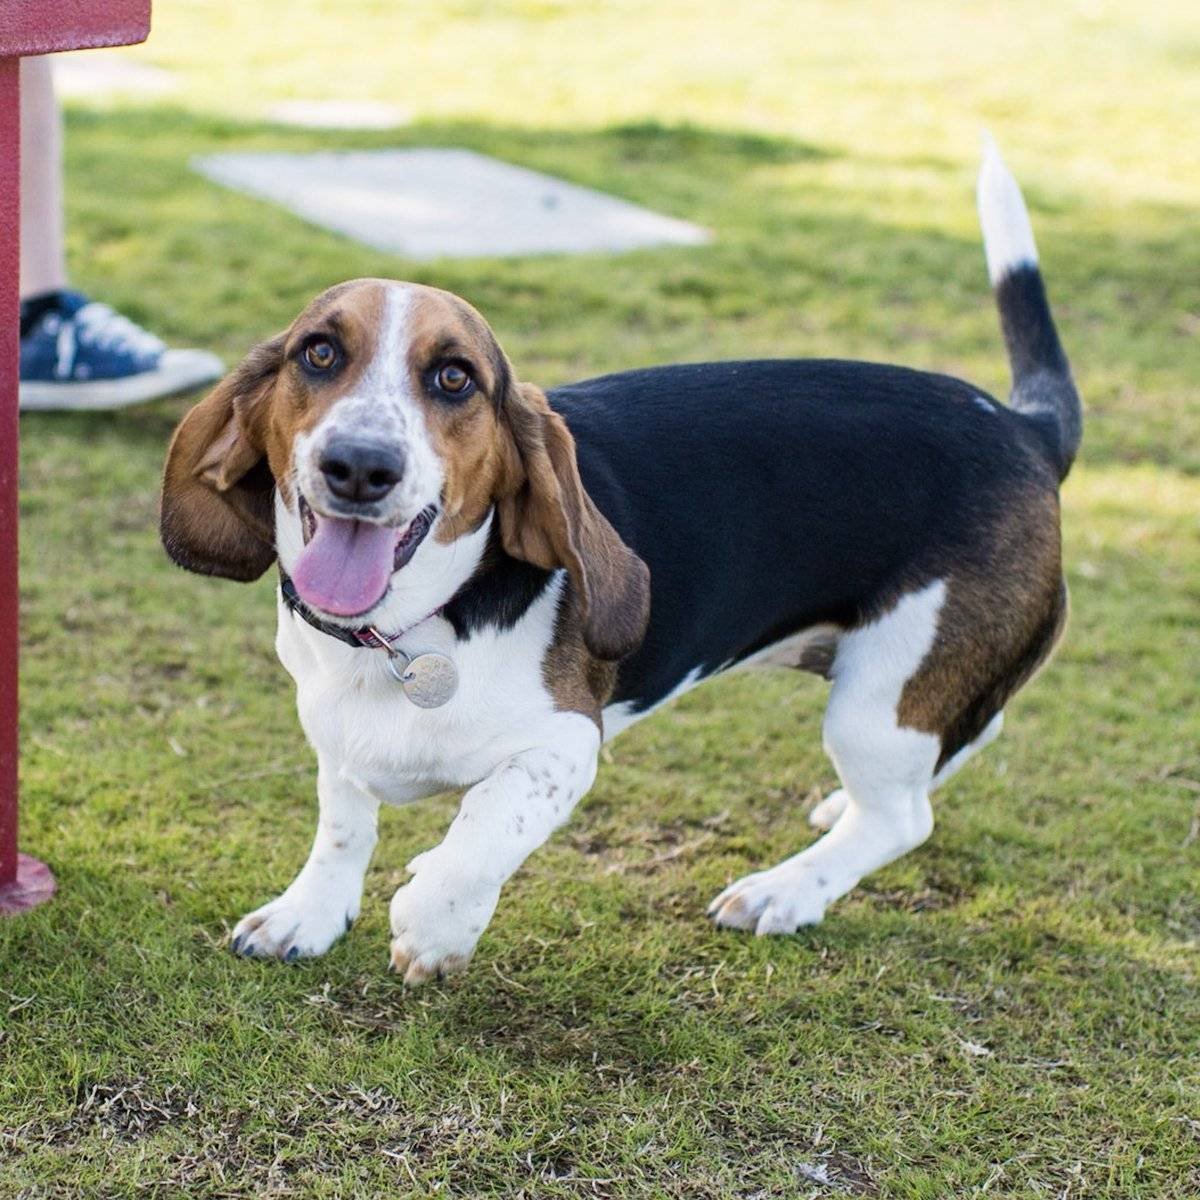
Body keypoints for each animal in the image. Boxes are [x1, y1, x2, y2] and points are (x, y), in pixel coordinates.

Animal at [157, 140, 1080, 984]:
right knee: (960, 745)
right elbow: (344, 826)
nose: (359, 465)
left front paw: (436, 923)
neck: (404, 632)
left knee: (902, 819)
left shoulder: (567, 744)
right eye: (318, 353)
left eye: (455, 378)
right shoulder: (336, 738)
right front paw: (308, 913)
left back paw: (784, 891)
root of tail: (1023, 428)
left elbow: (486, 823)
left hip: (878, 701)